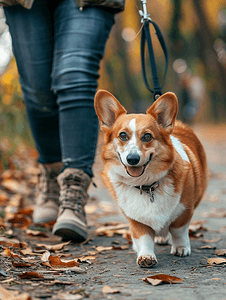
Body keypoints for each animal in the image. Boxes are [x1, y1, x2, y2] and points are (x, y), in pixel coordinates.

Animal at [94, 89, 208, 268]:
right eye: (122, 135)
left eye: (147, 136)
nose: (132, 159)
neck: (146, 185)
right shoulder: (135, 219)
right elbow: (144, 238)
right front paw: (146, 256)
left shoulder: (185, 211)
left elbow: (178, 231)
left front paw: (181, 248)